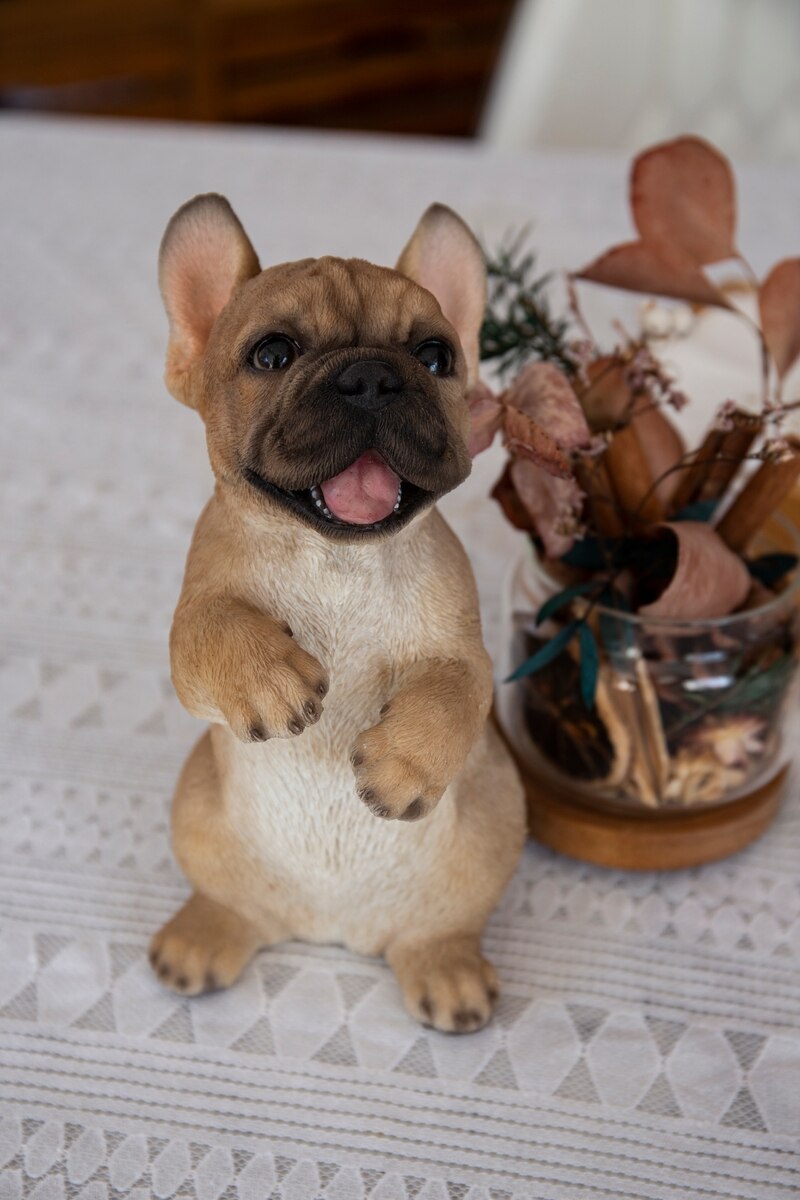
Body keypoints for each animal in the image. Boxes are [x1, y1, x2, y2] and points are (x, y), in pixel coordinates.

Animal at [148, 195, 526, 1033]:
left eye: (435, 356)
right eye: (271, 355)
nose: (372, 377)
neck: (338, 558)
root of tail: (332, 927)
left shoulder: (464, 652)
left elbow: (453, 690)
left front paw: (401, 765)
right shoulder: (195, 617)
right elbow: (210, 627)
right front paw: (270, 681)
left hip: (494, 824)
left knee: (444, 924)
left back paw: (447, 967)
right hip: (195, 808)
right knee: (231, 901)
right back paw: (203, 934)